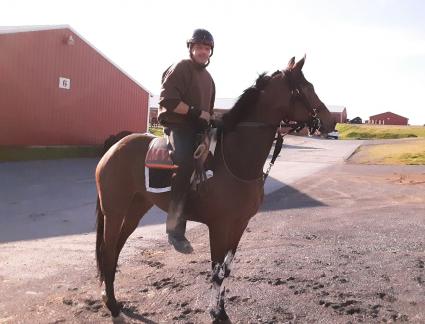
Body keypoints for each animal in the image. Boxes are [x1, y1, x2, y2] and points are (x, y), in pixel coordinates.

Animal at [94, 55, 332, 322]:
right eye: (307, 88)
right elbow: (216, 270)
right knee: (108, 251)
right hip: (114, 211)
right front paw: (216, 312)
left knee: (115, 249)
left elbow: (226, 270)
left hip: (136, 208)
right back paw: (113, 306)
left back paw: (112, 299)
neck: (236, 161)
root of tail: (115, 147)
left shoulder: (239, 225)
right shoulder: (219, 226)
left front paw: (221, 310)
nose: (330, 121)